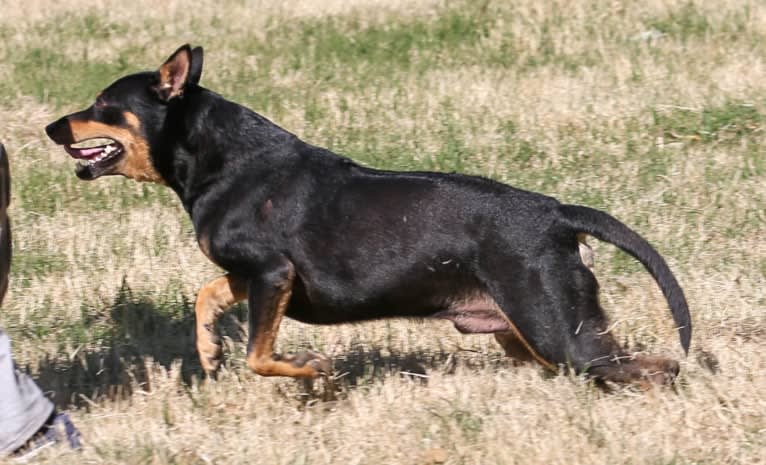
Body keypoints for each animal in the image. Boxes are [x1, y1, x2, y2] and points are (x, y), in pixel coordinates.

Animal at [45, 44, 692, 384]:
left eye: (102, 104)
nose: (51, 127)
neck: (222, 161)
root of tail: (559, 215)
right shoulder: (255, 277)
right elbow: (208, 296)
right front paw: (207, 351)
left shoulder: (272, 273)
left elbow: (260, 355)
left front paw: (312, 369)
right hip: (529, 334)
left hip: (558, 332)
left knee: (651, 366)